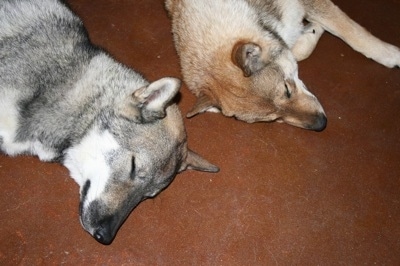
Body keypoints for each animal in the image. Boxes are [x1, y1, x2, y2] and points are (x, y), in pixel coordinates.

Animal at [166, 0, 400, 131]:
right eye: (274, 118)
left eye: (287, 90)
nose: (321, 124)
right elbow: (298, 49)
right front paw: (311, 30)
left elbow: (351, 31)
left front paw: (391, 55)